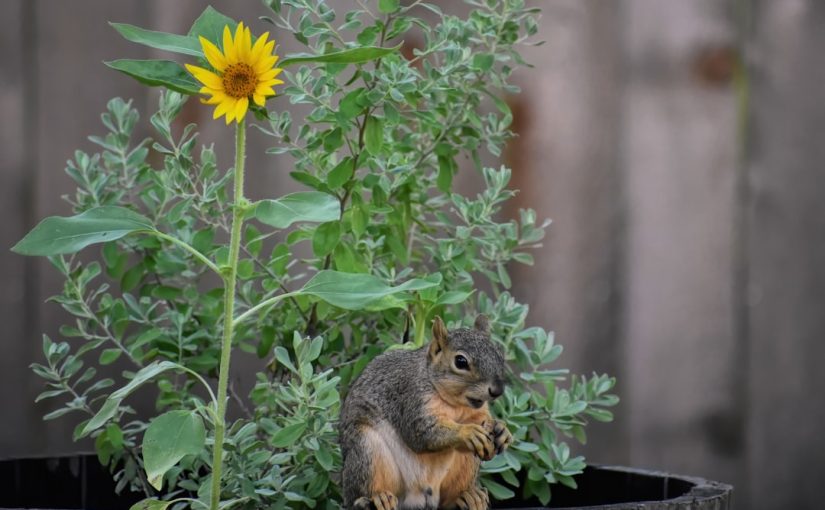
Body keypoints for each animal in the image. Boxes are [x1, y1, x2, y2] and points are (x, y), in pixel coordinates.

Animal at [340, 315, 513, 510]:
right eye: (460, 361)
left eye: (499, 354)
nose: (497, 390)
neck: (454, 404)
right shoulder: (411, 401)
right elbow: (422, 433)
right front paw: (467, 432)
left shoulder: (475, 412)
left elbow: (481, 419)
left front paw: (501, 430)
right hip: (367, 451)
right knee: (362, 491)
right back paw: (377, 498)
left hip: (464, 466)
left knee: (448, 501)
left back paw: (468, 496)